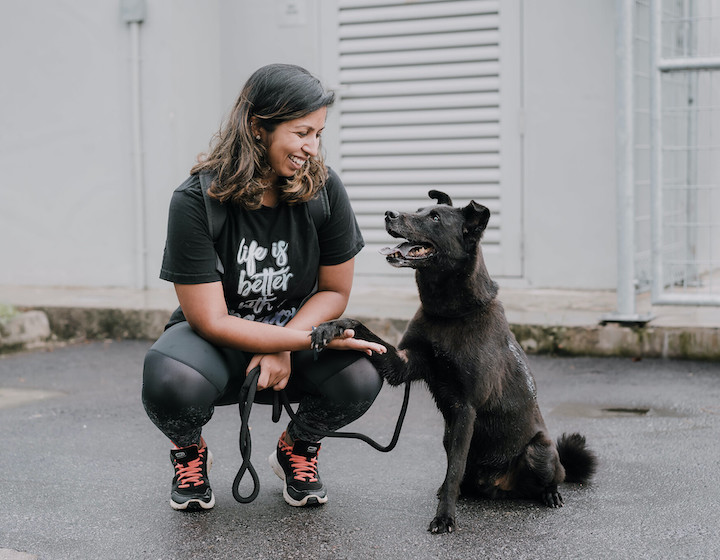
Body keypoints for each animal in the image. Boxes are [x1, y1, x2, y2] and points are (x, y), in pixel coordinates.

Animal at [312, 191, 600, 532]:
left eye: (435, 217)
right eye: (419, 209)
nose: (389, 214)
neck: (448, 314)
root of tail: (498, 485)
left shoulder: (465, 408)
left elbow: (454, 469)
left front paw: (444, 516)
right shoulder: (404, 364)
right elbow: (360, 326)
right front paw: (331, 327)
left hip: (539, 449)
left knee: (552, 476)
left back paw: (550, 493)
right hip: (447, 435)